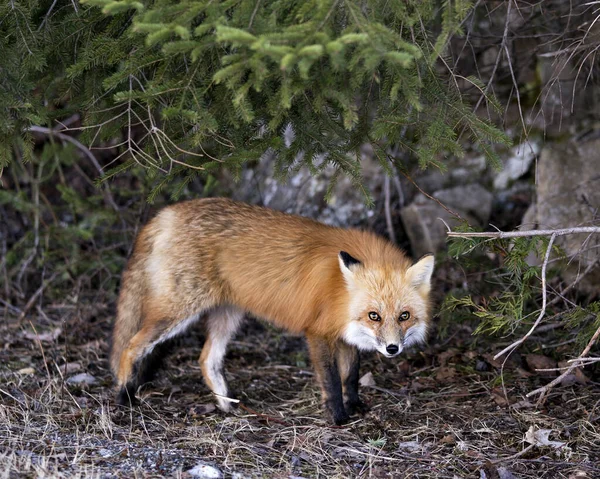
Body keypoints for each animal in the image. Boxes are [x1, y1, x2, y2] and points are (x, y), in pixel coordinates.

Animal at [110, 198, 434, 424]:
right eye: (374, 315)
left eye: (404, 316)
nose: (392, 349)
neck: (340, 291)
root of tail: (168, 212)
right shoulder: (318, 333)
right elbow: (332, 381)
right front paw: (339, 418)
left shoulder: (344, 333)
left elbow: (351, 376)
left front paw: (355, 405)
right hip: (177, 312)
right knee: (130, 346)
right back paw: (125, 396)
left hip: (228, 315)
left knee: (206, 359)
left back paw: (226, 406)